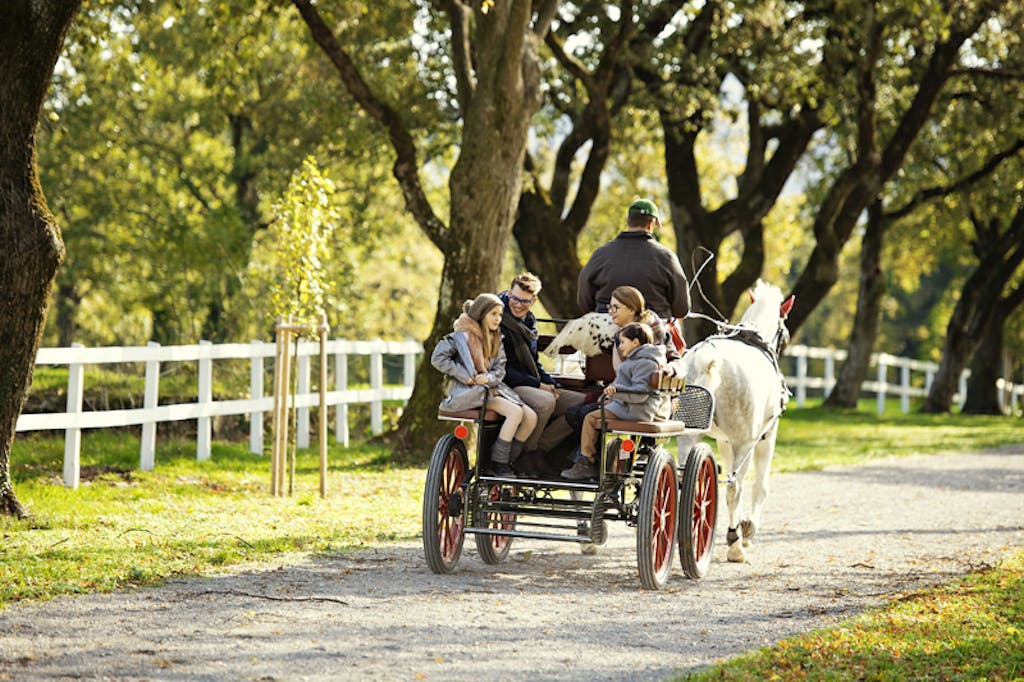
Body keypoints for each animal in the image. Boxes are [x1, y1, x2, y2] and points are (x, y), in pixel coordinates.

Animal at [679, 280, 795, 563]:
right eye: (784, 331)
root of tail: (706, 361)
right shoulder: (765, 436)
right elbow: (760, 486)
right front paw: (747, 528)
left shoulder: (724, 441)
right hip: (745, 441)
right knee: (734, 487)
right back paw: (735, 543)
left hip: (688, 435)